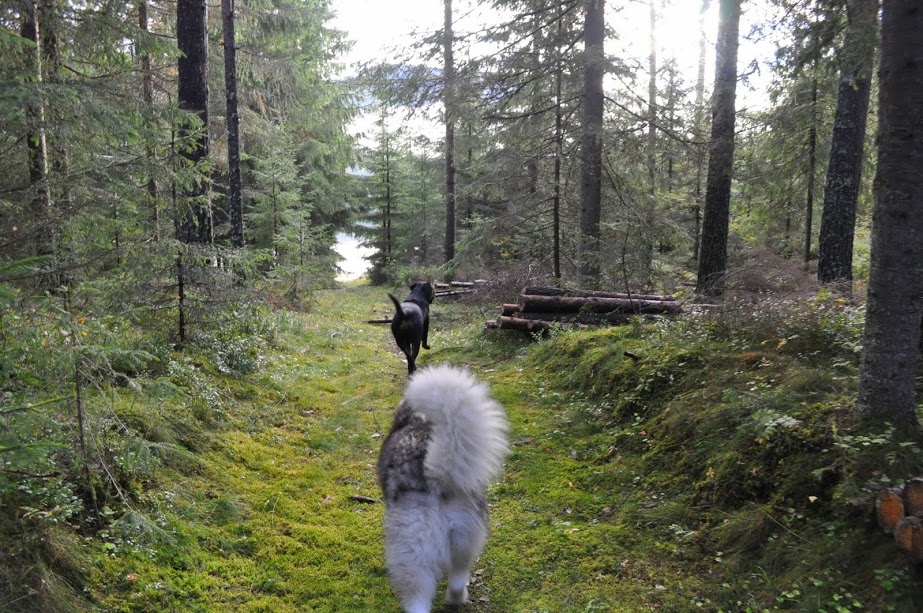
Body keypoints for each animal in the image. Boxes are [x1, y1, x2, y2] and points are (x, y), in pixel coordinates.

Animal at [377, 365, 509, 613]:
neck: (419, 420)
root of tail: (437, 478)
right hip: (465, 541)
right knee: (457, 580)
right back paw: (457, 598)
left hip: (412, 557)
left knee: (418, 601)